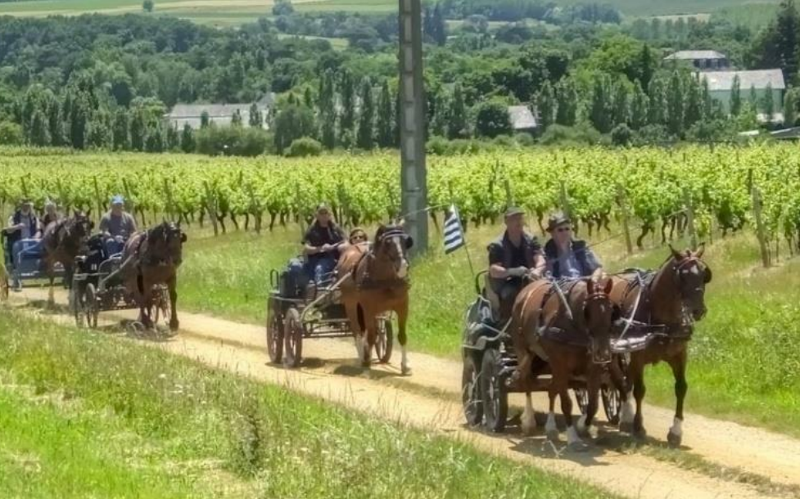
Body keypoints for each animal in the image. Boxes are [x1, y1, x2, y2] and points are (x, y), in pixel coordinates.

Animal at [336, 224, 412, 376]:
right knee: (357, 330)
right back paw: (362, 357)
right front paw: (366, 362)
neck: (386, 280)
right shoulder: (369, 309)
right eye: (387, 243)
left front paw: (405, 366)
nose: (402, 267)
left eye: (406, 241)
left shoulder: (403, 306)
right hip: (351, 303)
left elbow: (402, 336)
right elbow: (370, 336)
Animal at [512, 276, 620, 452]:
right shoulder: (561, 365)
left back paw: (551, 428)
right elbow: (567, 403)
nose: (603, 352)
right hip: (524, 352)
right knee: (526, 383)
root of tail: (526, 289)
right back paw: (529, 421)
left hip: (548, 362)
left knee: (551, 389)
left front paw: (583, 426)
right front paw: (573, 437)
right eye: (587, 311)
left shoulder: (593, 368)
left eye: (612, 310)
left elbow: (593, 404)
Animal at [608, 245, 712, 446]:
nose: (698, 310)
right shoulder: (638, 356)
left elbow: (681, 388)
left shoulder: (679, 355)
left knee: (625, 379)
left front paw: (676, 432)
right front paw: (638, 427)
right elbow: (640, 390)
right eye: (682, 275)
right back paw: (626, 417)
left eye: (704, 273)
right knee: (619, 379)